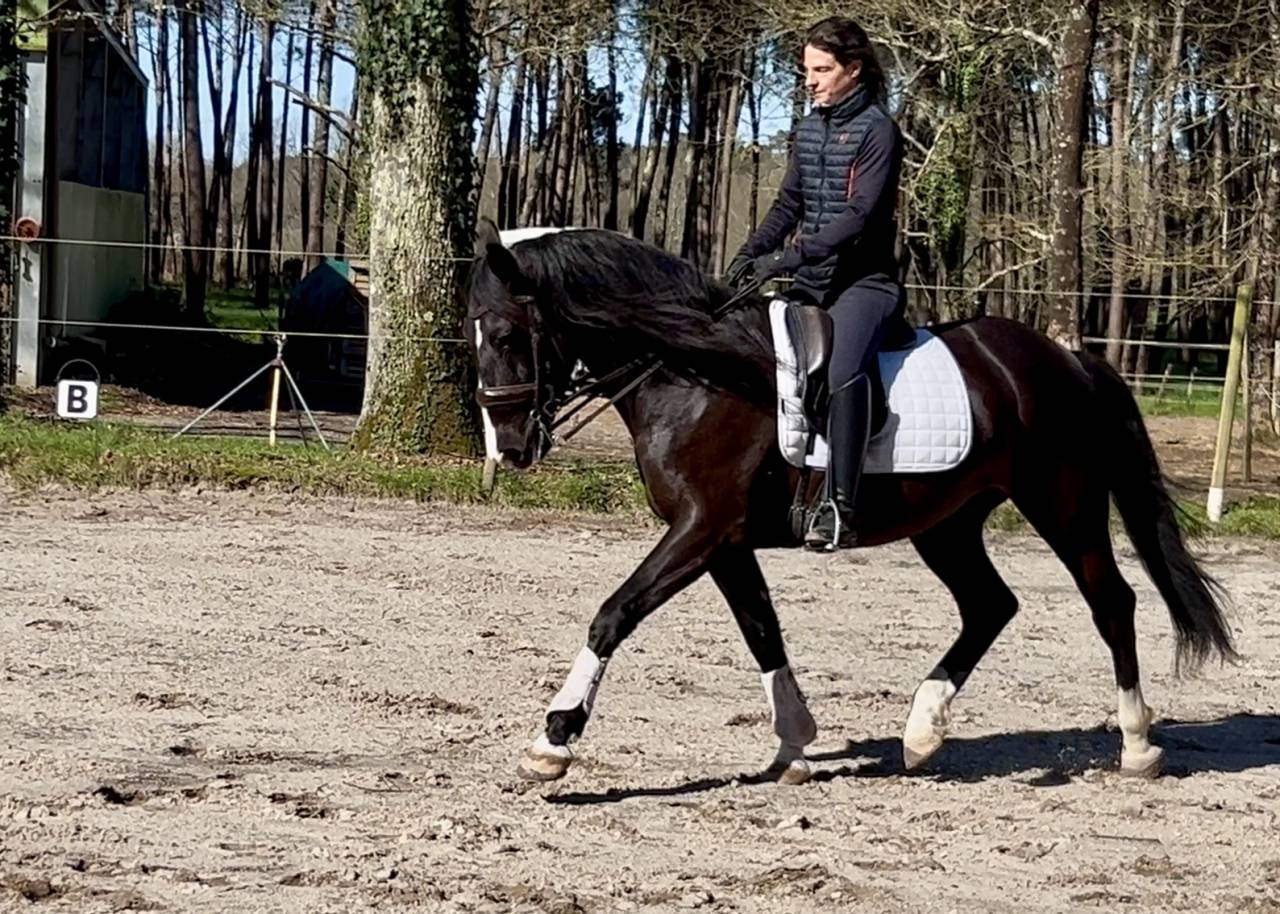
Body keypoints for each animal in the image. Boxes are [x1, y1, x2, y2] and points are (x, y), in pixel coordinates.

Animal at [464, 221, 1236, 785]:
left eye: (504, 335)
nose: (509, 447)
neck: (695, 370)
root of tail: (1069, 360)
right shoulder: (724, 540)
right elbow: (763, 630)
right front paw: (794, 746)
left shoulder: (701, 528)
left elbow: (614, 614)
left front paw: (553, 739)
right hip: (948, 524)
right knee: (990, 605)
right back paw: (922, 733)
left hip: (1064, 505)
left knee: (1112, 602)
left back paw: (1137, 745)